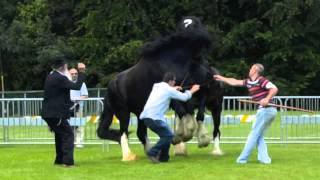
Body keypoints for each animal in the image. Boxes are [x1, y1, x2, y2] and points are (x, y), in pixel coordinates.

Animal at [97, 16, 220, 160]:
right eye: (184, 27)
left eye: (196, 24)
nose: (203, 37)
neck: (173, 62)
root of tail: (110, 86)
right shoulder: (174, 94)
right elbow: (183, 113)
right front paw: (183, 136)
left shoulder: (195, 93)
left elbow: (196, 113)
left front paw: (198, 139)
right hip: (123, 112)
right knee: (123, 133)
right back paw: (128, 156)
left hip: (139, 112)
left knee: (140, 133)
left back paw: (152, 152)